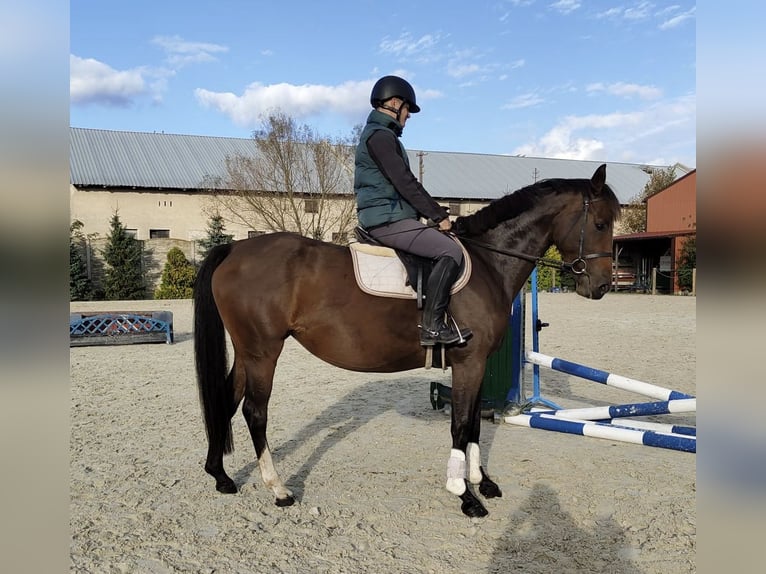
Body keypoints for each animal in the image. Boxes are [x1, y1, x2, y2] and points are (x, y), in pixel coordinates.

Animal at [195, 164, 620, 520]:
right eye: (600, 223)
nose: (601, 287)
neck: (488, 264)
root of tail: (235, 248)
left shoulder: (478, 363)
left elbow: (475, 423)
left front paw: (482, 482)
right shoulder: (469, 361)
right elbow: (460, 425)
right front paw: (464, 494)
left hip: (248, 352)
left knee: (226, 399)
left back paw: (220, 475)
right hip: (263, 350)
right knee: (255, 412)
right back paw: (278, 489)